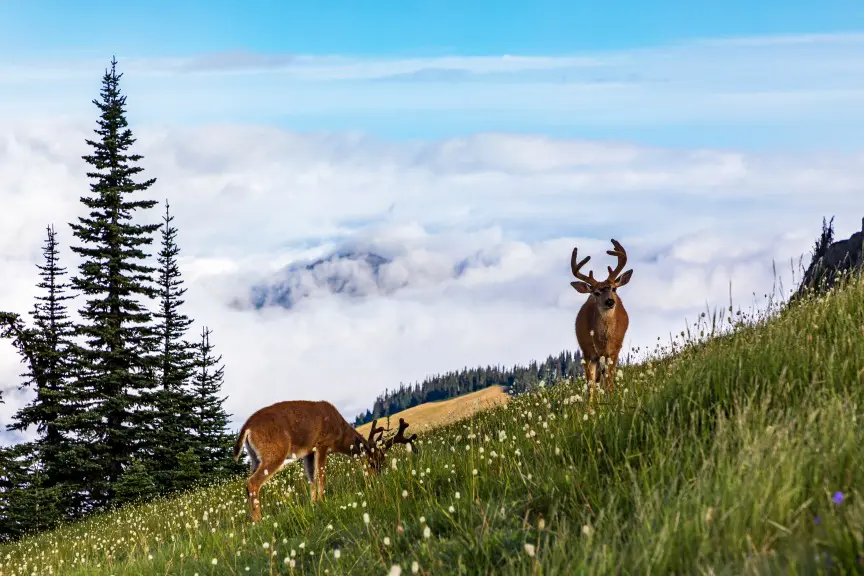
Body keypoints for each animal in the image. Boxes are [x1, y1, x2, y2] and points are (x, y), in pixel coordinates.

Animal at [233, 400, 417, 522]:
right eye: (374, 462)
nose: (378, 477)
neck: (340, 433)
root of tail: (246, 427)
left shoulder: (308, 452)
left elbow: (312, 478)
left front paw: (314, 503)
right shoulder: (322, 443)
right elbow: (321, 474)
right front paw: (322, 500)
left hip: (255, 458)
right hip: (275, 453)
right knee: (252, 482)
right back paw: (258, 520)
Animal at [570, 238, 633, 393]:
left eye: (614, 288)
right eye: (596, 293)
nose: (610, 301)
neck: (603, 341)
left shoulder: (613, 351)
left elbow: (609, 382)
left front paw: (611, 397)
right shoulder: (588, 352)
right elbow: (590, 385)